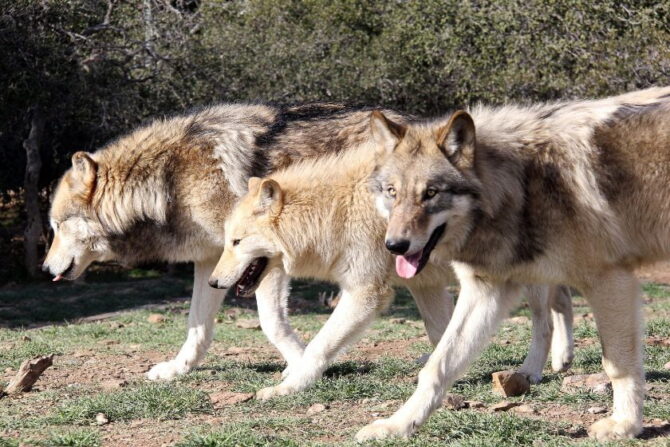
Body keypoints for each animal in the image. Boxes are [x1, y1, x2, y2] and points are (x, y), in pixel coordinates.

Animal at [211, 144, 576, 402]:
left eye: (236, 241)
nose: (214, 281)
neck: (335, 209)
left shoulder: (365, 293)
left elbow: (319, 346)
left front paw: (288, 387)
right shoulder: (424, 285)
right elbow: (442, 333)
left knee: (544, 323)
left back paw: (531, 372)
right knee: (563, 300)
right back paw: (563, 360)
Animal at [360, 86, 670, 442]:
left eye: (431, 193)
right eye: (392, 192)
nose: (395, 246)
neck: (521, 185)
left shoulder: (611, 280)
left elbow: (617, 364)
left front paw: (625, 425)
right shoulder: (485, 290)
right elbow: (438, 366)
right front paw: (397, 425)